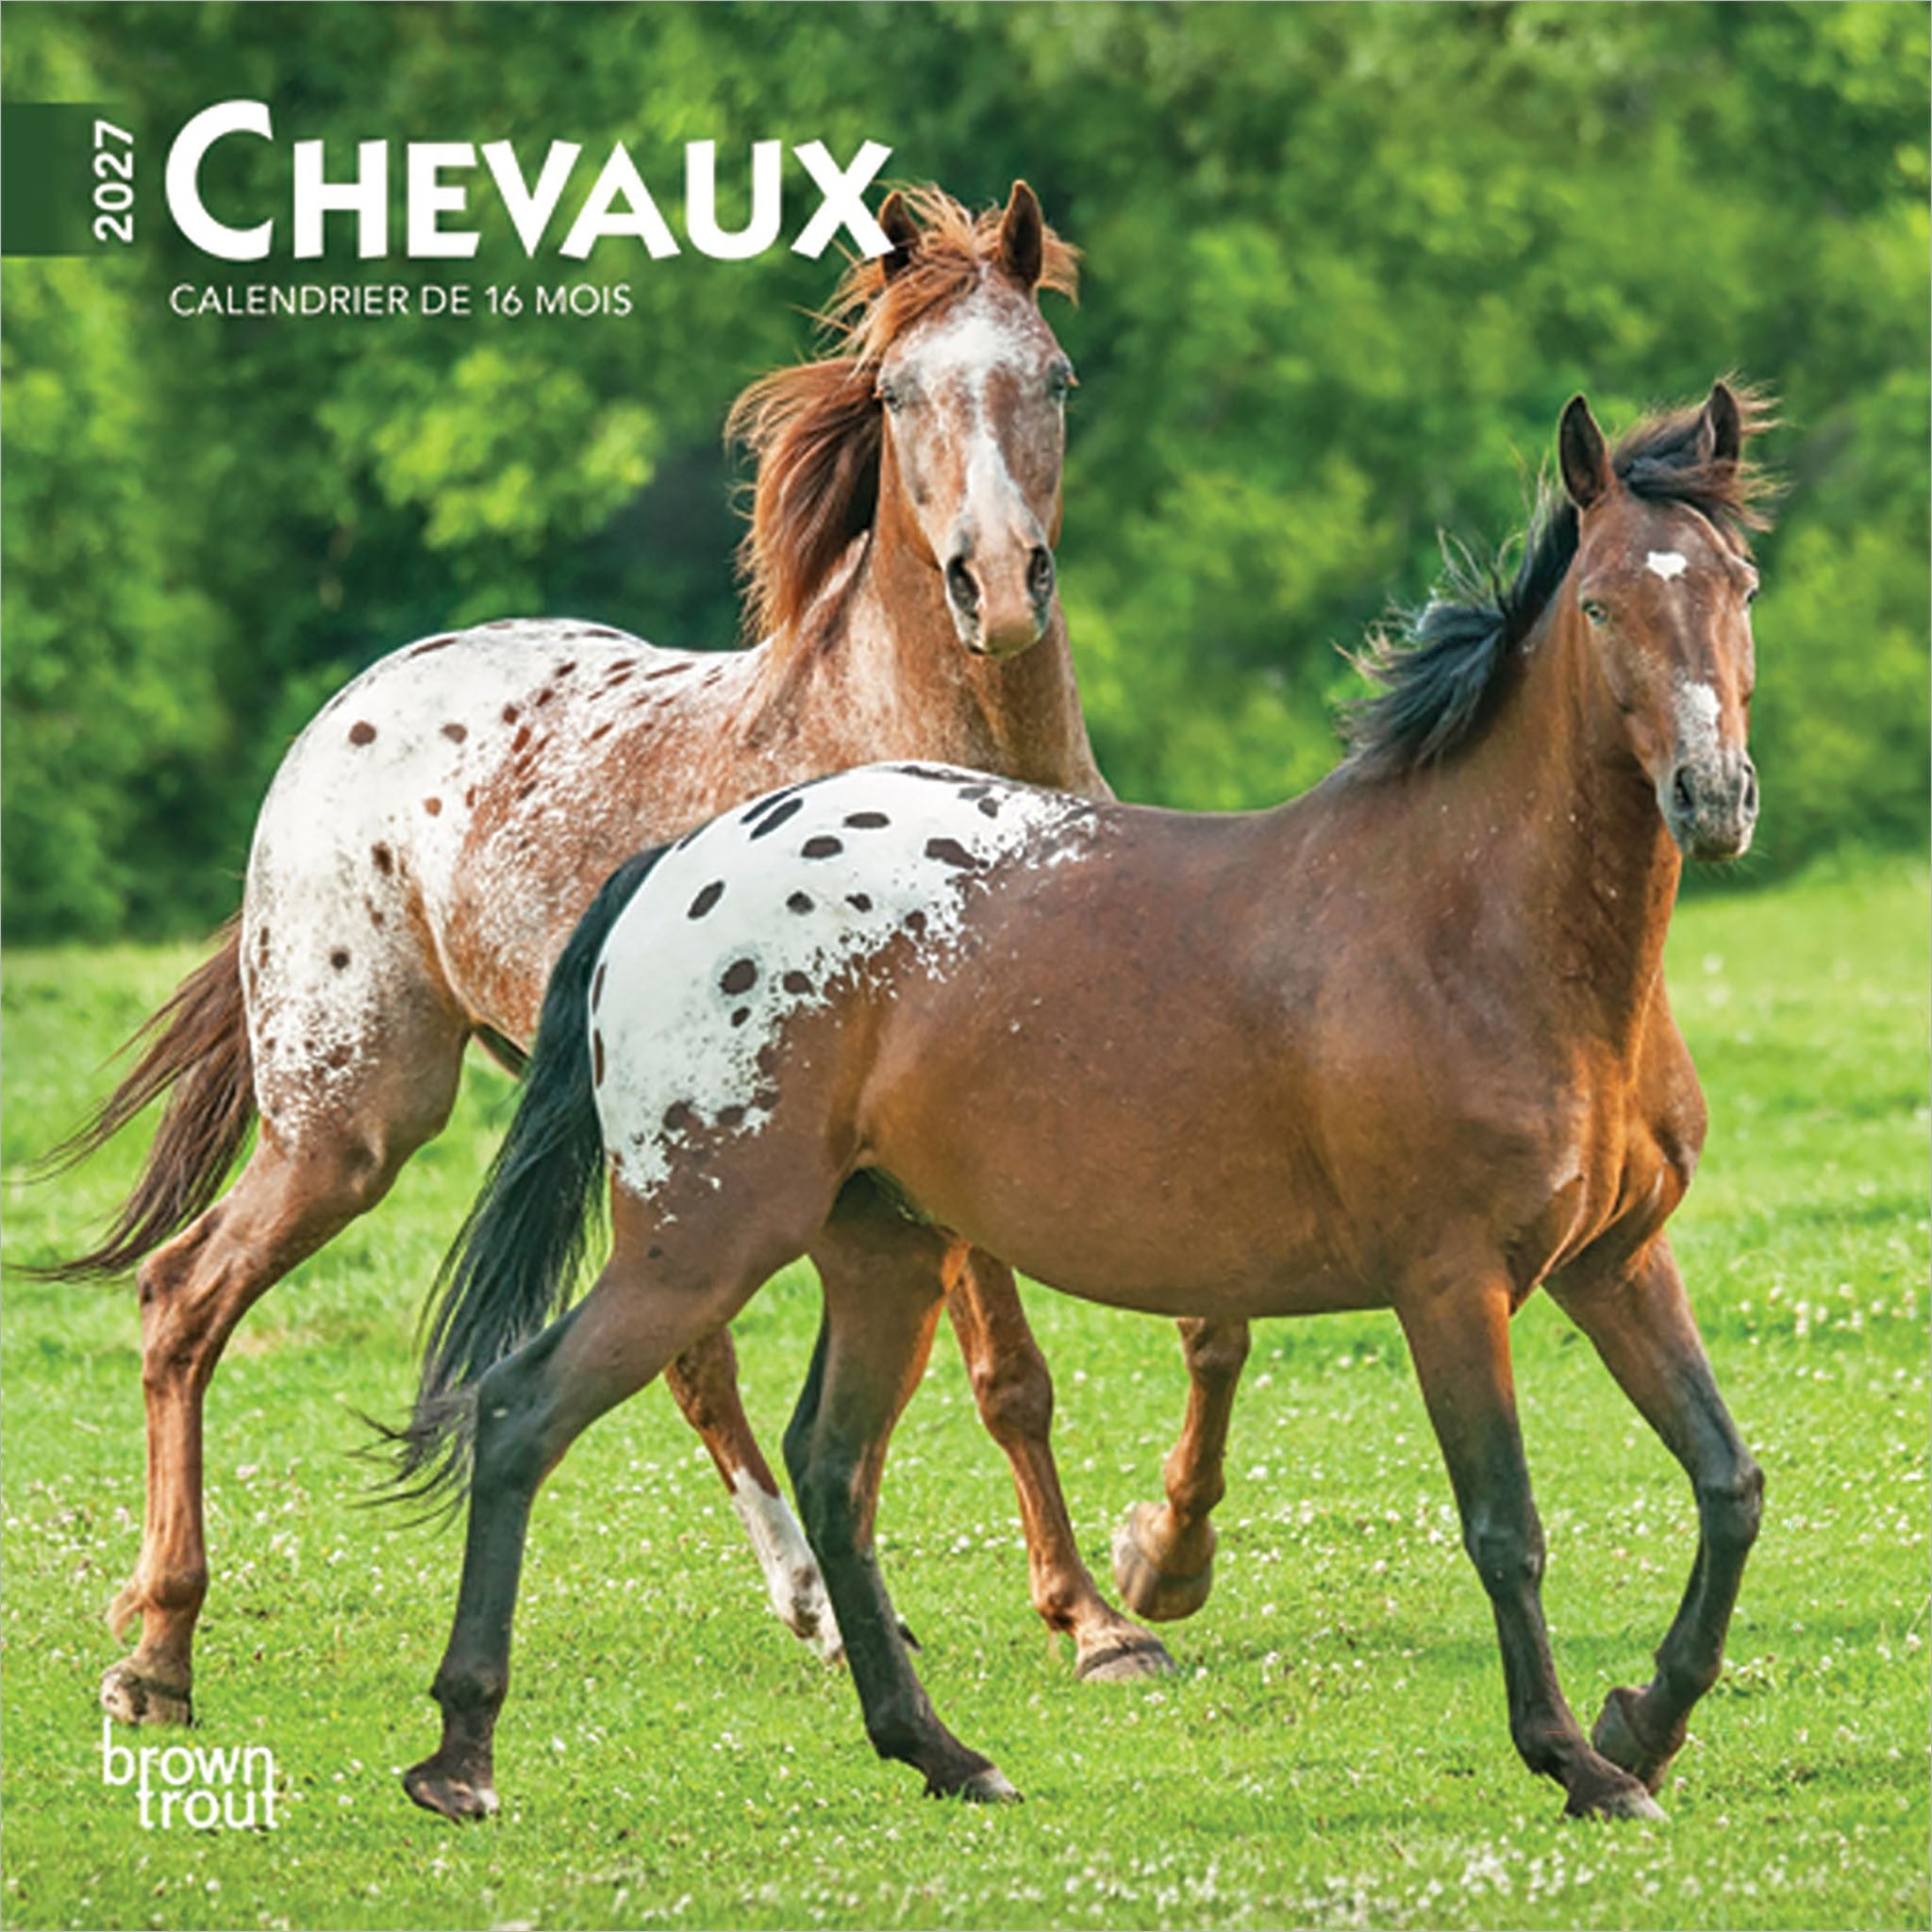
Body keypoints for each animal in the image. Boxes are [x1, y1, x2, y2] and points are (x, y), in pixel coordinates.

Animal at [38, 181, 1214, 1727]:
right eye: (897, 394)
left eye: (1056, 379)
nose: (999, 586)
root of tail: (346, 713)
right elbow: (1008, 1372)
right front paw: (1097, 1619)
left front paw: (1130, 1579)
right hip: (352, 1120)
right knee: (183, 1298)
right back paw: (156, 1654)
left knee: (689, 1361)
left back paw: (818, 1612)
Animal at [396, 382, 1772, 1825]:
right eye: (1602, 605)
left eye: (1737, 584)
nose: (1711, 797)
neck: (1475, 929)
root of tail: (678, 865)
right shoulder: (1452, 1283)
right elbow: (1506, 1527)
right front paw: (1576, 1759)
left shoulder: (1616, 1260)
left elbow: (1727, 1482)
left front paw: (1644, 1720)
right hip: (698, 1243)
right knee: (522, 1411)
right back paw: (461, 1757)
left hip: (881, 1251)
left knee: (831, 1466)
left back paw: (940, 1750)